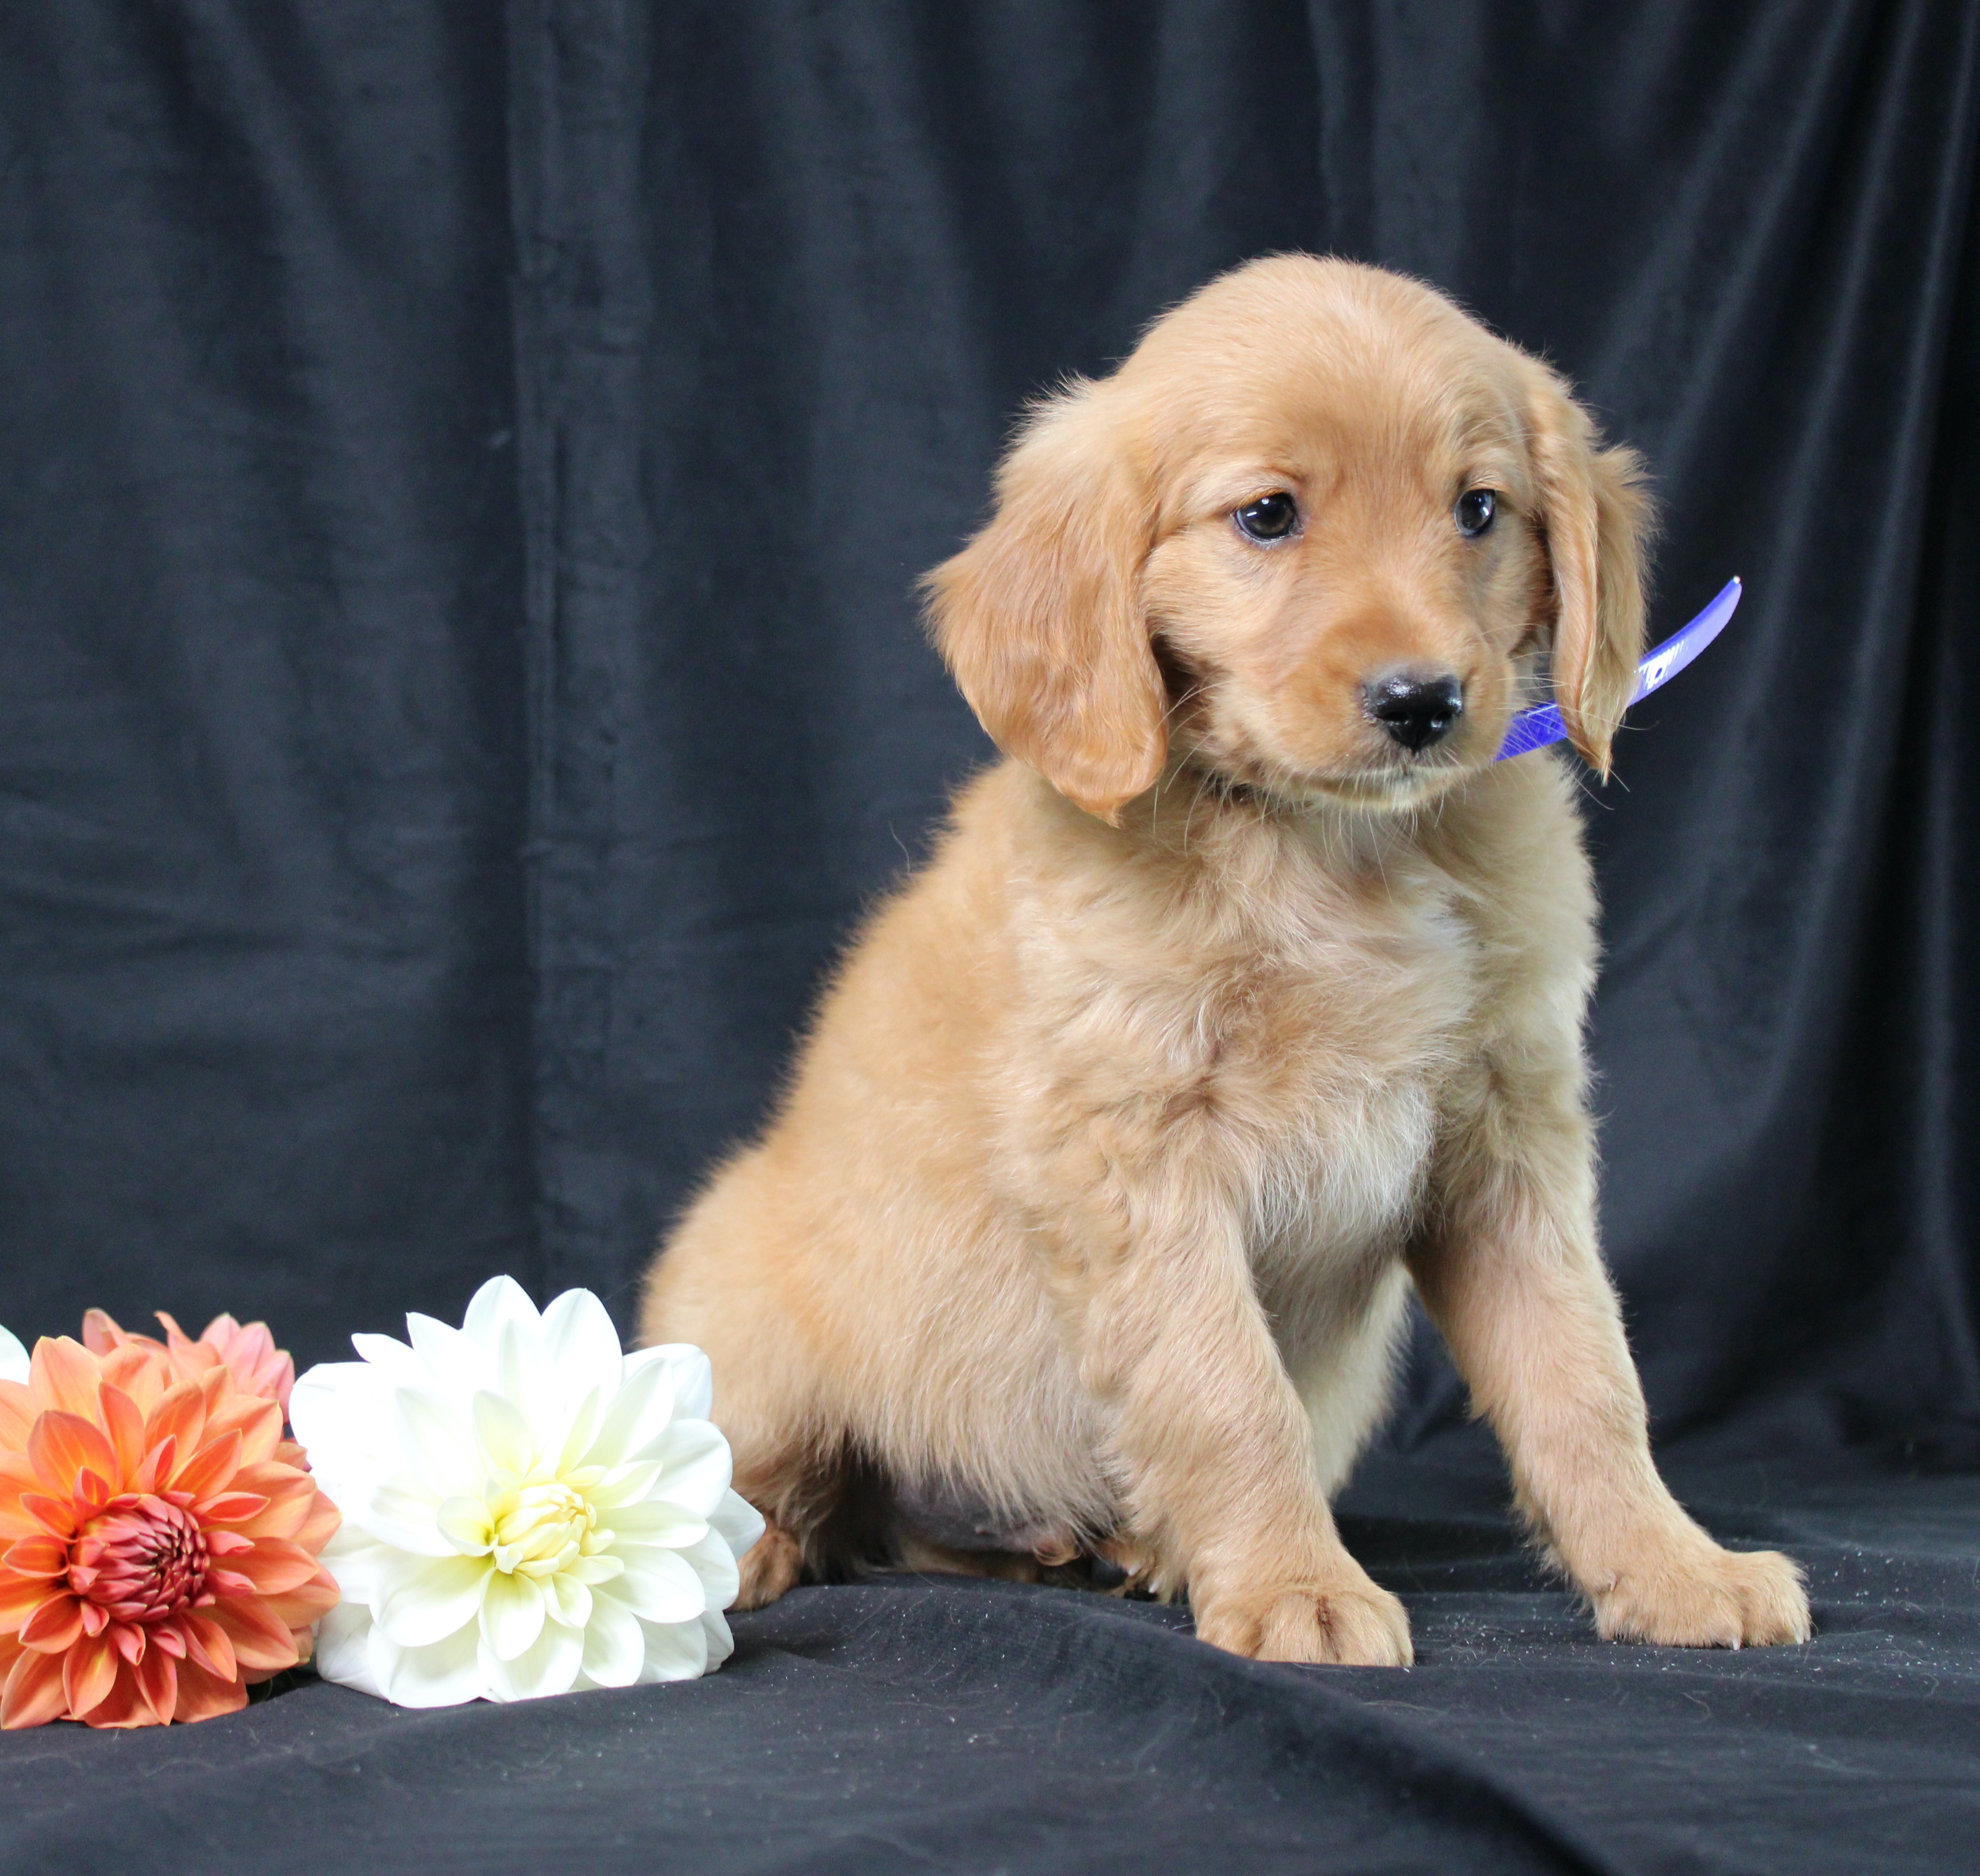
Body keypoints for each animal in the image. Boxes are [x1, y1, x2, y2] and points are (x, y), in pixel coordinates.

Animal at [645, 253, 1813, 1671]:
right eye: (1264, 516)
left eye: (1477, 509)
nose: (1421, 702)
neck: (1327, 855)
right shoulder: (1138, 1155)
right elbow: (1226, 1392)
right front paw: (1294, 1584)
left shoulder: (1505, 1142)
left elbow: (1584, 1375)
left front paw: (1667, 1566)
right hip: (737, 1287)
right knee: (772, 1469)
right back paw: (745, 1545)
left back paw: (1115, 1545)